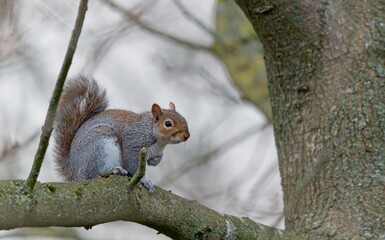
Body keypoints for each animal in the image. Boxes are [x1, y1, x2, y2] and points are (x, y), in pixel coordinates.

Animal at [51, 76, 190, 193]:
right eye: (168, 123)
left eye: (184, 118)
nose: (186, 136)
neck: (160, 142)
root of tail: (74, 172)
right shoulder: (133, 142)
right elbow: (133, 165)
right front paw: (145, 180)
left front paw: (156, 160)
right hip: (98, 146)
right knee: (94, 173)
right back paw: (114, 169)